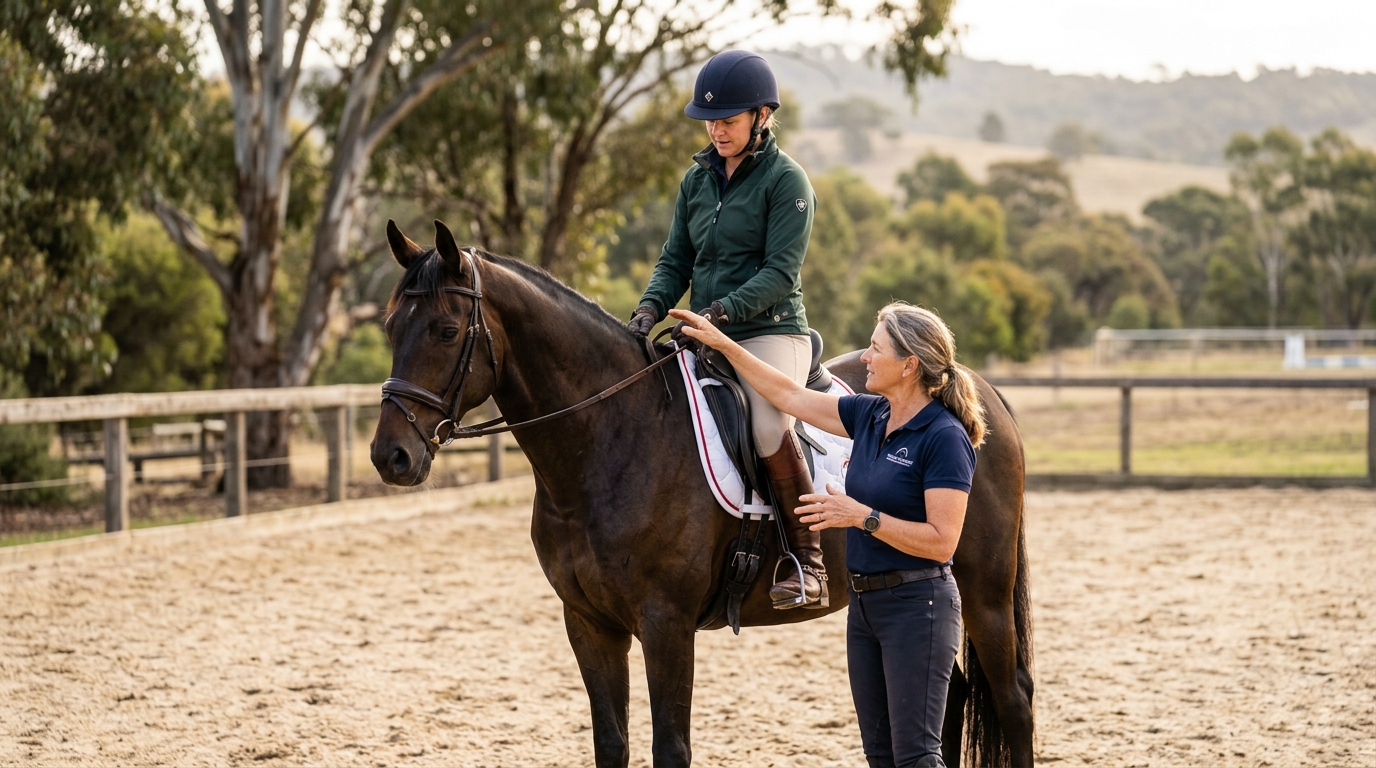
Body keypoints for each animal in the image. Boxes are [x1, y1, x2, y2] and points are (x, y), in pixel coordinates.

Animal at [370, 220, 1035, 767]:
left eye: (447, 330)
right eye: (390, 327)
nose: (389, 456)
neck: (611, 438)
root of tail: (978, 391)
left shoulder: (666, 624)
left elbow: (671, 748)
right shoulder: (588, 623)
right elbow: (612, 743)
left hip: (983, 588)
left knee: (1013, 700)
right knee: (948, 701)